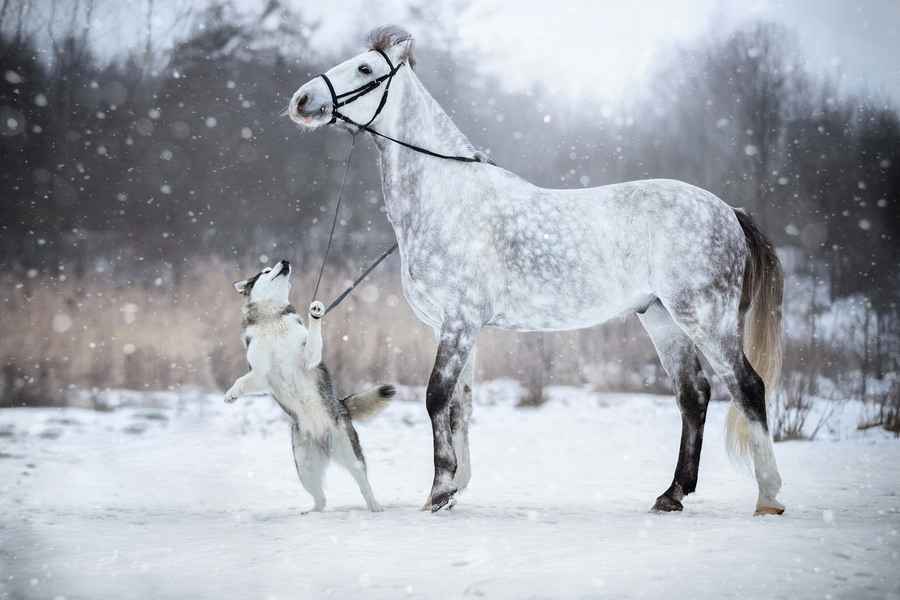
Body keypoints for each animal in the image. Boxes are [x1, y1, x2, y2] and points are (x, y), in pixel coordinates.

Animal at [225, 258, 394, 510]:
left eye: (274, 265)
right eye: (266, 270)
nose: (285, 261)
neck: (272, 320)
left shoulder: (308, 359)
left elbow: (313, 339)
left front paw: (316, 313)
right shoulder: (261, 374)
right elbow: (243, 380)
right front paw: (232, 393)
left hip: (350, 454)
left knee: (364, 485)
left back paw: (374, 506)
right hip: (304, 468)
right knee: (321, 498)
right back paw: (313, 512)